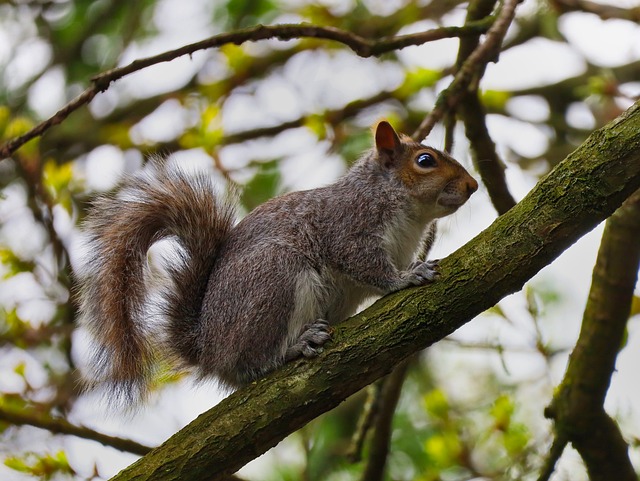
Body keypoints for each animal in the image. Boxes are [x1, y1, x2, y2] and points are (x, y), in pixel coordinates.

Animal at [75, 121, 478, 402]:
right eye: (425, 161)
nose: (473, 186)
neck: (408, 215)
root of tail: (208, 348)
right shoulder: (349, 228)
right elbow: (368, 266)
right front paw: (406, 278)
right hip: (274, 278)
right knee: (253, 362)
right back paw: (294, 347)